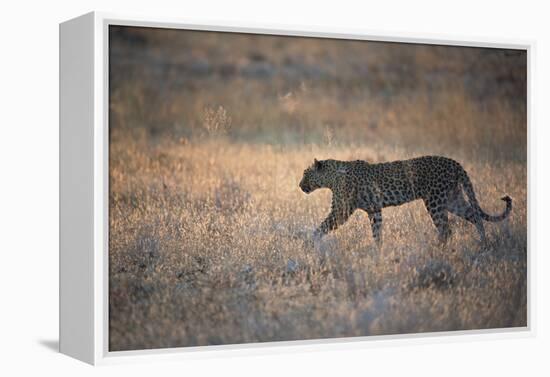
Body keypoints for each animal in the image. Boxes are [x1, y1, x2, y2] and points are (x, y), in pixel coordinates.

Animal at [300, 155, 516, 244]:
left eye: (305, 174)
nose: (300, 185)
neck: (331, 177)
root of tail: (455, 163)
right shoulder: (374, 210)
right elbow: (377, 233)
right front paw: (378, 251)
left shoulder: (341, 210)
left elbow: (323, 226)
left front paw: (310, 242)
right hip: (453, 199)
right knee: (475, 217)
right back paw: (483, 243)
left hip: (435, 201)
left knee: (446, 229)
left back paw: (436, 250)